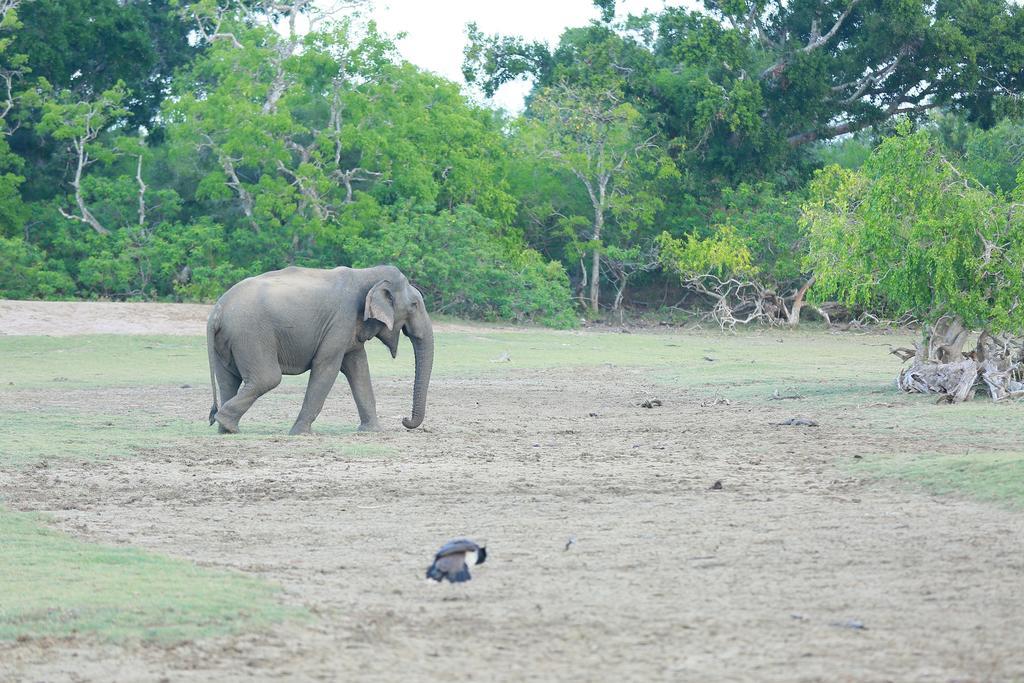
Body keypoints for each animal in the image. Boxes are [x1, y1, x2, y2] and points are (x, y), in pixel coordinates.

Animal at [205, 264, 434, 436]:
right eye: (414, 304)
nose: (405, 420)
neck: (365, 274)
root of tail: (217, 311)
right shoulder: (340, 321)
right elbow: (327, 367)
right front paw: (301, 434)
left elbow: (358, 367)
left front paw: (372, 431)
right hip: (251, 334)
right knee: (267, 378)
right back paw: (226, 423)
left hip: (228, 340)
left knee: (228, 380)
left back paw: (226, 428)